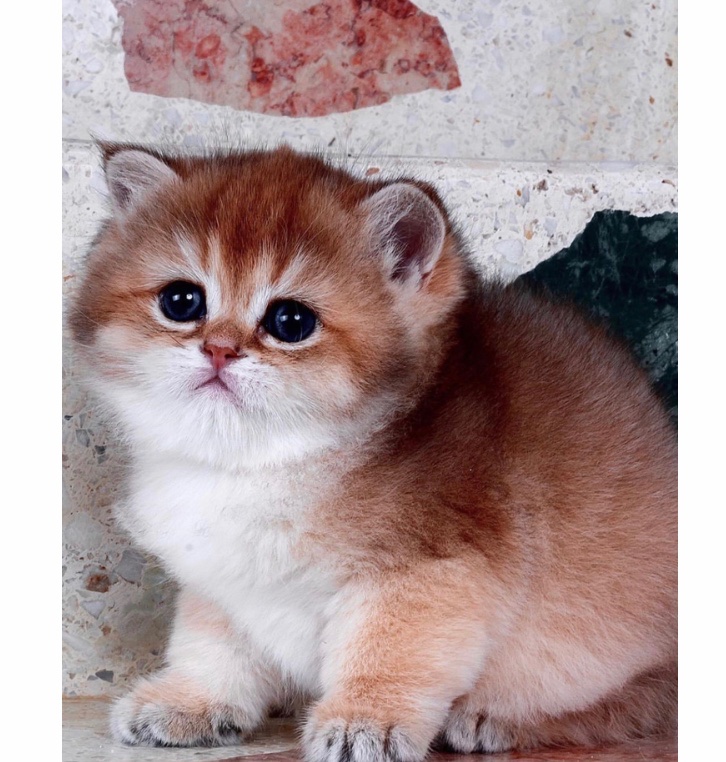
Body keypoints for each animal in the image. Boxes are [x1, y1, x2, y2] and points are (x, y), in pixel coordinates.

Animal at [69, 144, 677, 760]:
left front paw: (365, 720)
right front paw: (193, 702)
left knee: (643, 696)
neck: (269, 463)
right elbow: (212, 644)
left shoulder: (427, 569)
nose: (218, 349)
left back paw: (497, 718)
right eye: (181, 300)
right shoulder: (224, 578)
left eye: (291, 321)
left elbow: (390, 652)